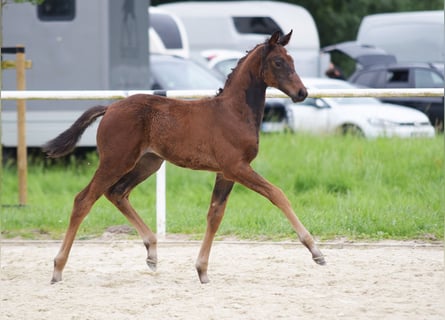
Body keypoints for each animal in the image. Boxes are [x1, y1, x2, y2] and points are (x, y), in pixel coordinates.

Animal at [44, 31, 322, 284]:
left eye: (291, 60)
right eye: (278, 62)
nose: (302, 92)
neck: (233, 111)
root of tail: (110, 107)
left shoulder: (225, 172)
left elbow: (215, 214)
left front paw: (202, 270)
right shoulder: (237, 167)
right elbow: (277, 194)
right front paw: (315, 250)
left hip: (148, 163)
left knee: (117, 193)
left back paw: (152, 251)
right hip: (115, 161)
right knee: (84, 200)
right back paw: (58, 268)